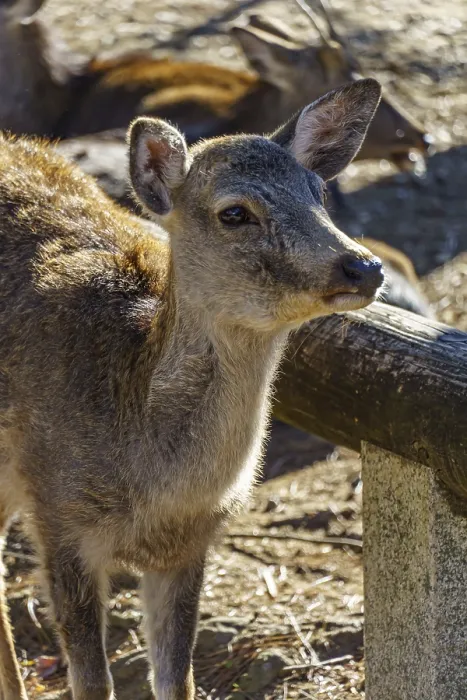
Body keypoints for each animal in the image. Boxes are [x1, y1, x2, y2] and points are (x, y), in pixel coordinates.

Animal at [0, 79, 384, 700]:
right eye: (235, 212)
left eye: (319, 194)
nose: (364, 266)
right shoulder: (58, 515)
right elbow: (93, 682)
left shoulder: (190, 543)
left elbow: (177, 679)